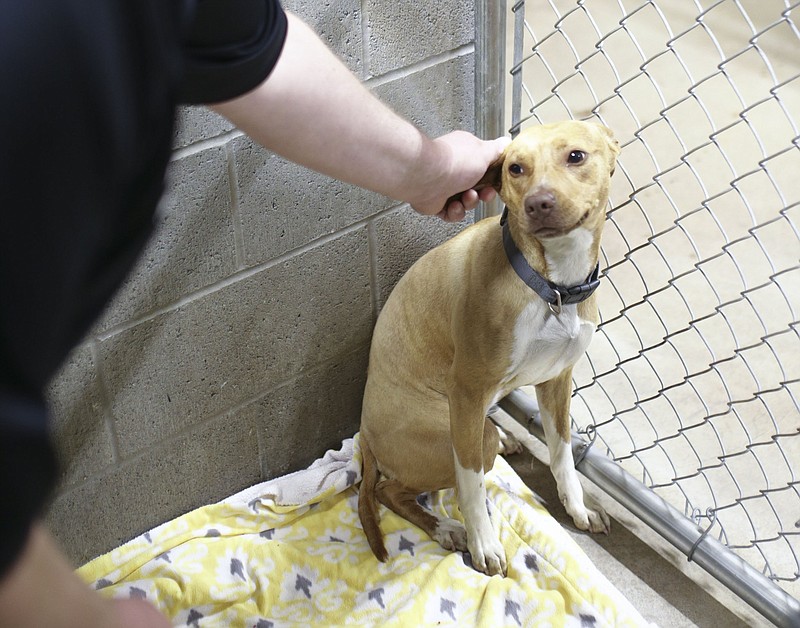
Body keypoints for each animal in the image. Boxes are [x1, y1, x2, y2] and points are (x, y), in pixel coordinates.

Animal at [360, 120, 620, 576]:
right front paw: (484, 542)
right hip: (463, 434)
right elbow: (471, 484)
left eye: (576, 156)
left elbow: (563, 456)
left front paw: (578, 509)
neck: (551, 284)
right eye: (516, 167)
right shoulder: (466, 393)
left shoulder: (558, 382)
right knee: (388, 490)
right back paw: (448, 528)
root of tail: (363, 436)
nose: (538, 203)